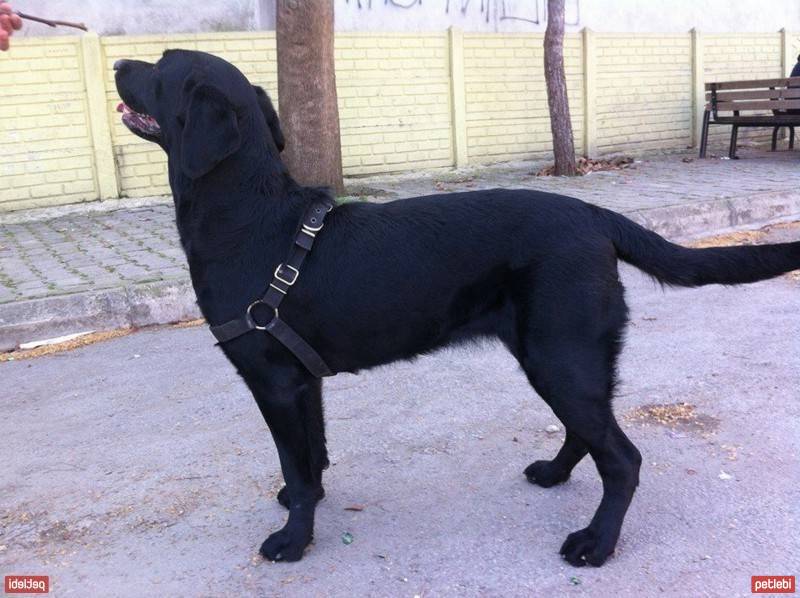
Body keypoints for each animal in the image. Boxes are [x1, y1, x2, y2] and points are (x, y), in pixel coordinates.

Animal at [114, 50, 800, 568]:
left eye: (161, 65)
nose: (119, 61)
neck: (248, 217)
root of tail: (595, 215)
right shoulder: (303, 381)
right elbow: (312, 455)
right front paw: (301, 503)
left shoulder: (274, 382)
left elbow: (297, 461)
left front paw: (292, 541)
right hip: (558, 357)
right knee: (588, 433)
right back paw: (554, 475)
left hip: (560, 356)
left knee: (623, 459)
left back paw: (595, 543)